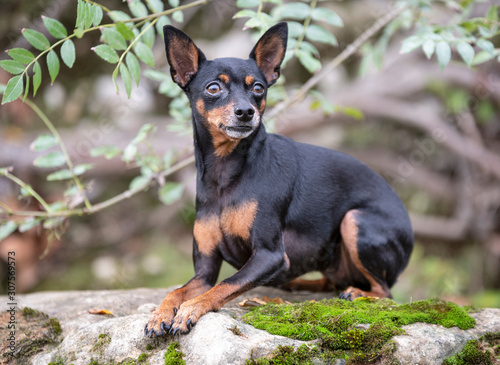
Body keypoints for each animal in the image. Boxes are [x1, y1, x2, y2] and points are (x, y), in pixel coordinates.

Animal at [145, 22, 414, 336]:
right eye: (214, 88)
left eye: (258, 88)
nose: (246, 112)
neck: (227, 174)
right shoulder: (204, 272)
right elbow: (176, 291)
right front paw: (160, 313)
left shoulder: (269, 255)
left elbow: (225, 284)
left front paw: (190, 308)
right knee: (332, 281)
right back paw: (297, 283)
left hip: (355, 220)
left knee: (384, 291)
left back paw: (357, 293)